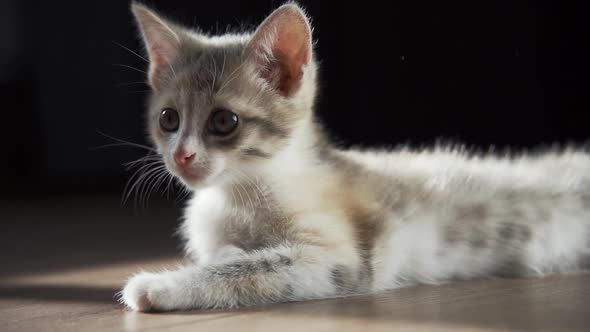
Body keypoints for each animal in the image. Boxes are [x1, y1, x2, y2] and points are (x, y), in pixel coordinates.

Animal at [121, 2, 590, 312]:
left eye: (223, 121)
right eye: (168, 119)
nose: (182, 156)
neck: (242, 192)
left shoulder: (341, 262)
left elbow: (250, 271)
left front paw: (156, 286)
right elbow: (232, 257)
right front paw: (227, 253)